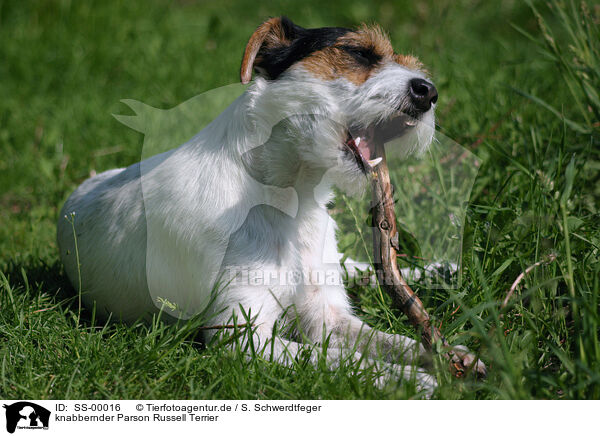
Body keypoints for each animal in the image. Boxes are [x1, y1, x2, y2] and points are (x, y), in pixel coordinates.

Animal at [57, 16, 482, 396]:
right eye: (359, 52)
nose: (428, 93)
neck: (292, 200)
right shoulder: (244, 338)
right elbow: (346, 360)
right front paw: (416, 381)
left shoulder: (327, 317)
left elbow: (395, 342)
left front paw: (448, 355)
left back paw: (441, 270)